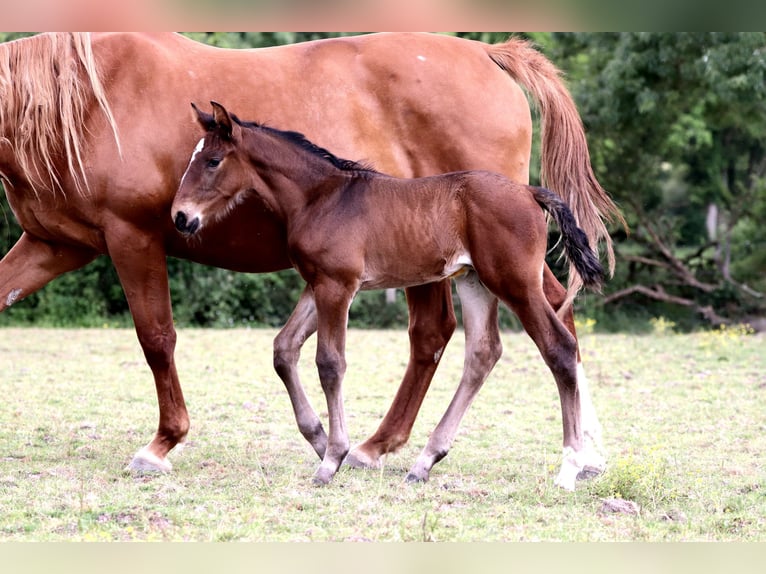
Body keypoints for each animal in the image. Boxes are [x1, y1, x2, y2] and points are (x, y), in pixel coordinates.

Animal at [172, 101, 608, 488]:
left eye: (212, 161)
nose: (180, 216)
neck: (322, 197)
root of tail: (531, 192)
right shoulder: (317, 284)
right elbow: (284, 349)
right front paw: (319, 440)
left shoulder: (338, 286)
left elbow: (330, 363)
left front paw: (332, 459)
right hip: (474, 281)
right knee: (483, 353)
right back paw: (425, 462)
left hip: (515, 283)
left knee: (559, 348)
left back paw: (569, 469)